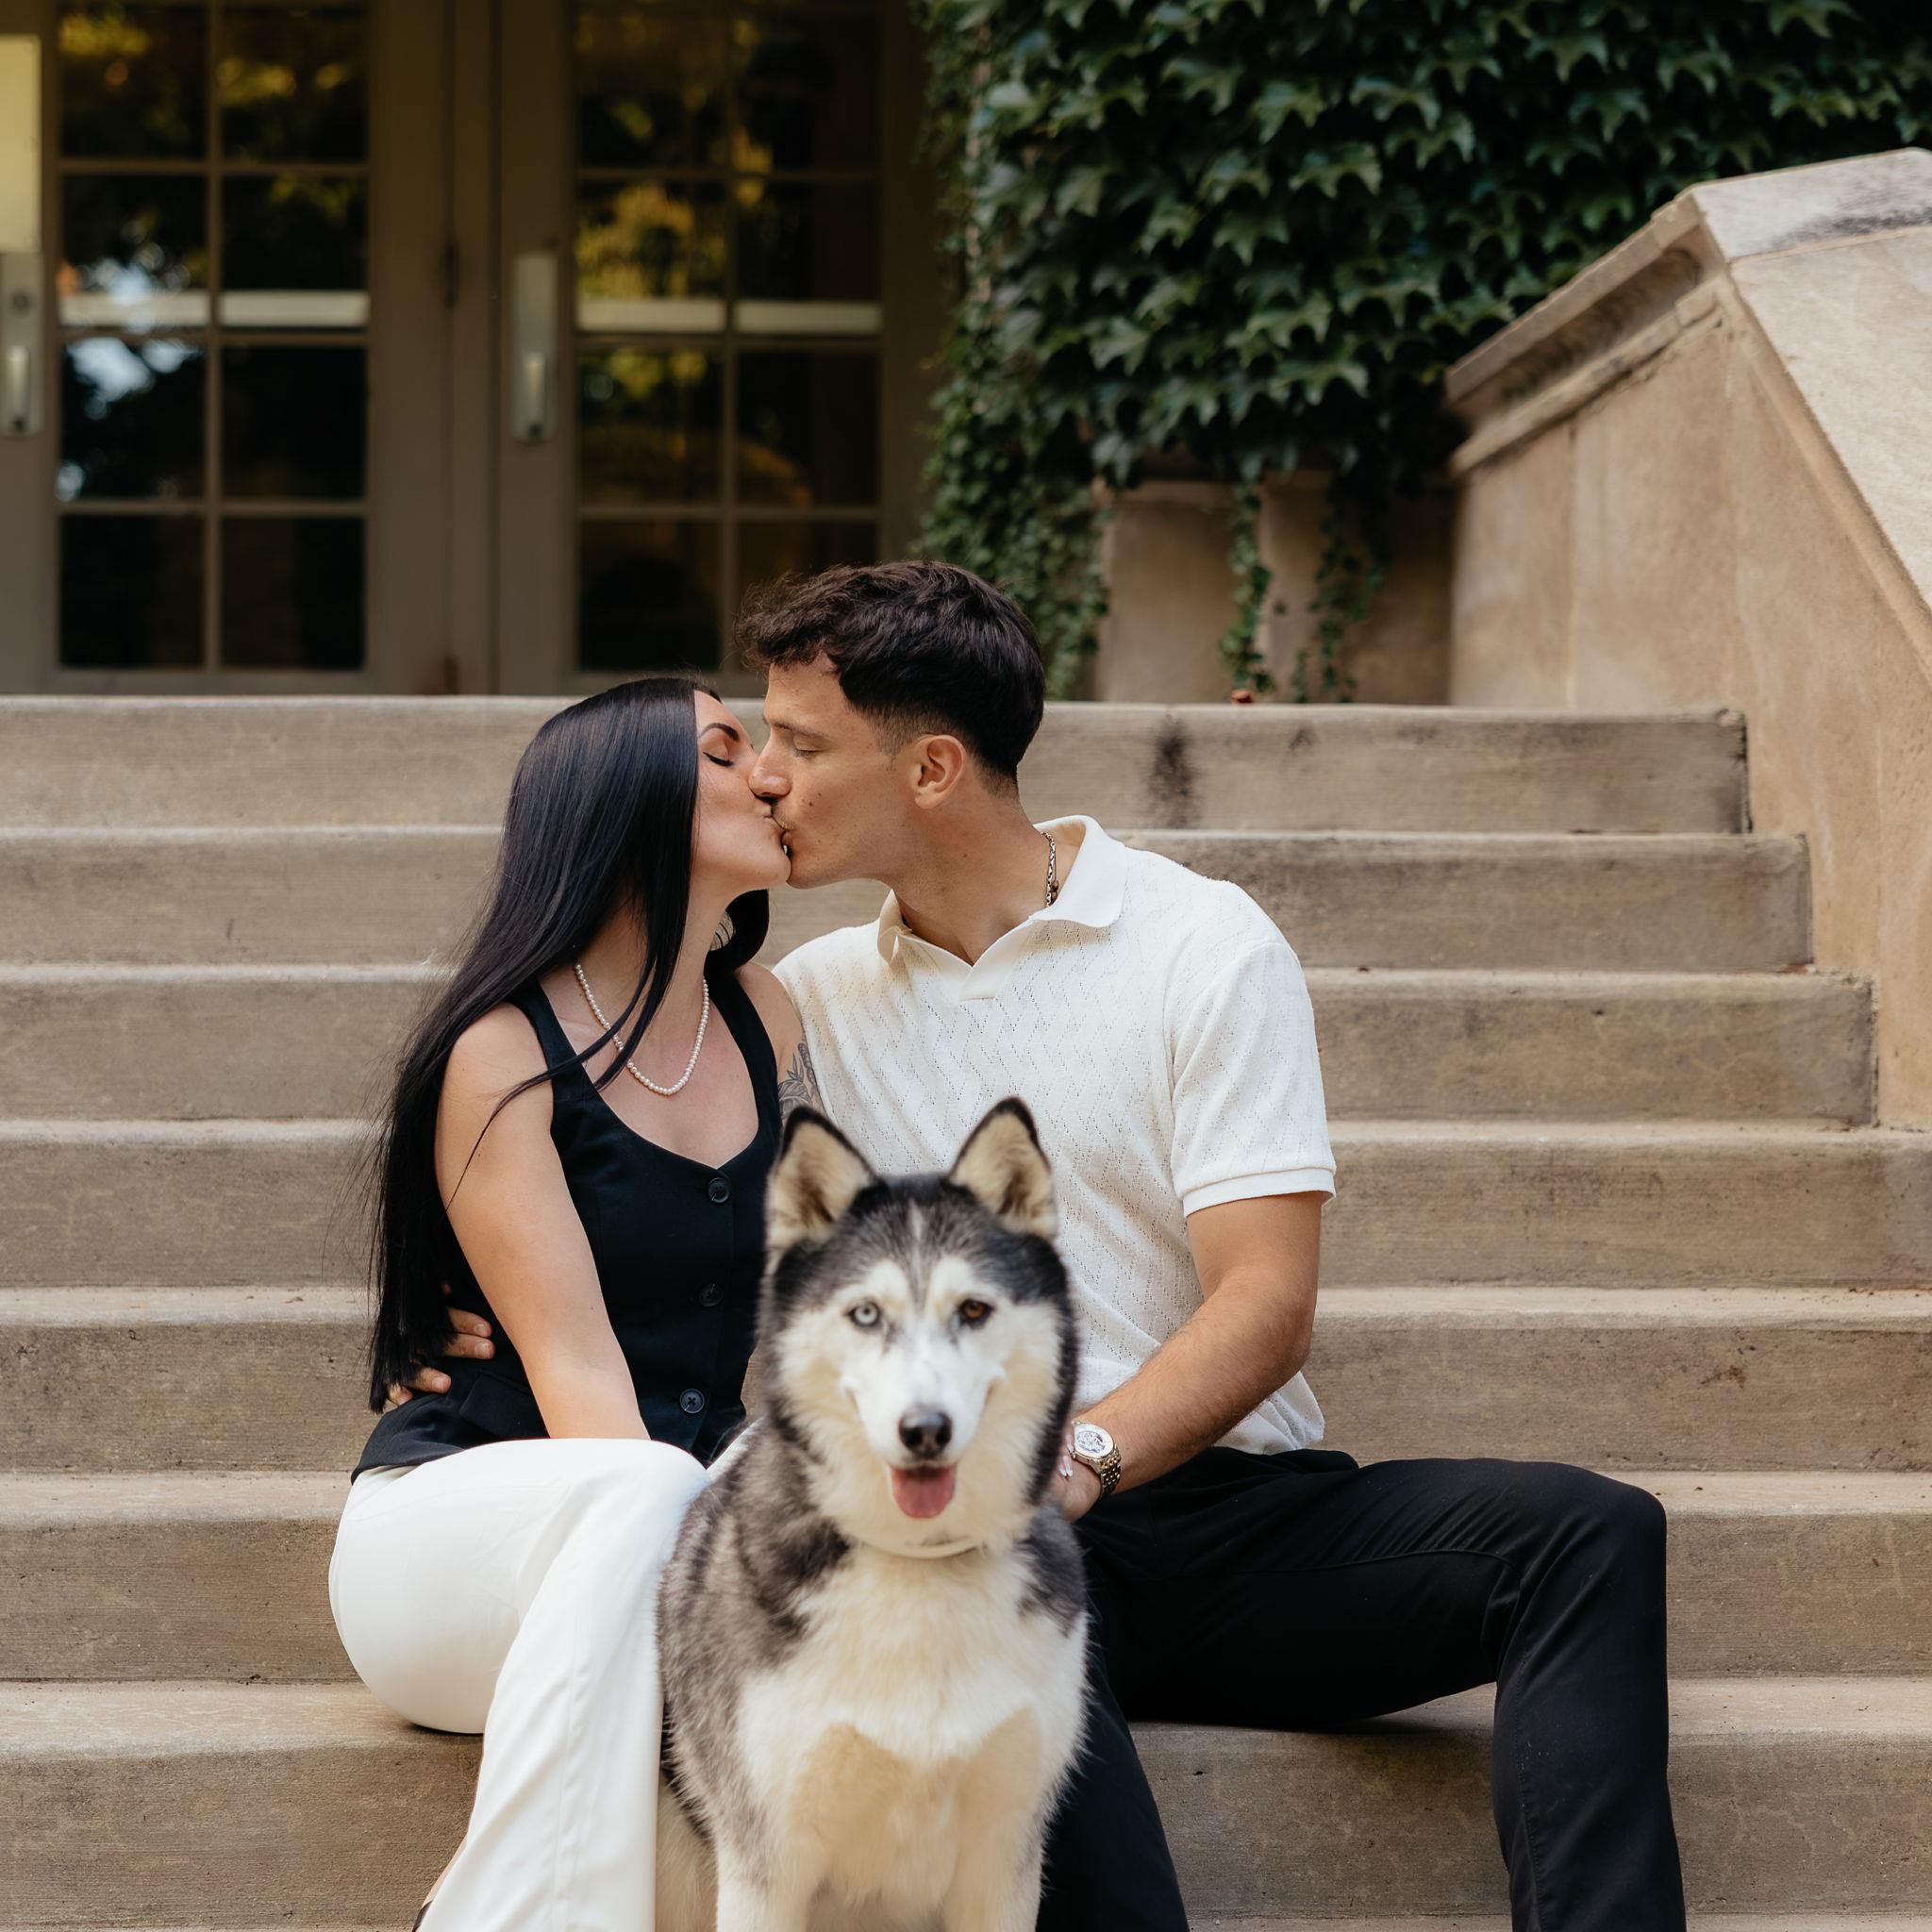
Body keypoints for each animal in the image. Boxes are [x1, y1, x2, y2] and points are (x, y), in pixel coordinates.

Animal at [655, 1098, 1090, 1932]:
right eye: (865, 1314)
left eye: (974, 1310)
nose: (925, 1430)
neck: (918, 1565)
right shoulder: (765, 1866)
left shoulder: (1004, 1865)